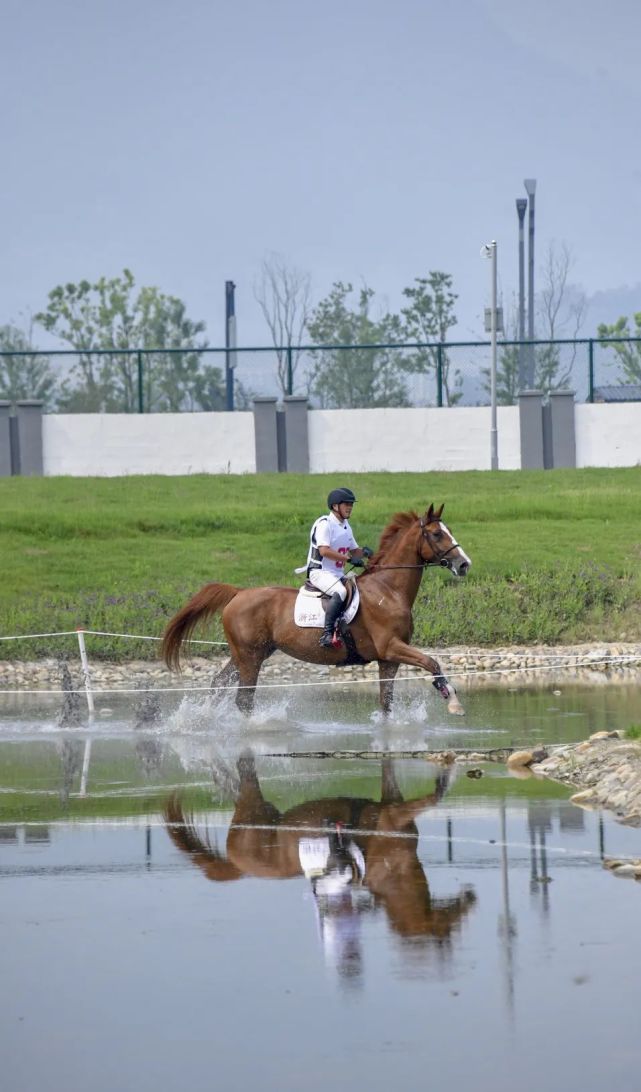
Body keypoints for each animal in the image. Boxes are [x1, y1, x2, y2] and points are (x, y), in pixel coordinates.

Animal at [160, 506, 471, 720]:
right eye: (437, 534)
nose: (464, 564)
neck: (388, 589)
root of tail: (238, 593)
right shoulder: (392, 647)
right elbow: (431, 662)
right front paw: (452, 700)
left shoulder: (388, 659)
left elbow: (386, 702)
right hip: (250, 657)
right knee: (244, 699)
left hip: (249, 654)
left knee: (218, 684)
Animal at [163, 755, 476, 952]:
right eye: (447, 932)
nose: (470, 900)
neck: (393, 872)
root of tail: (238, 863)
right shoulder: (395, 814)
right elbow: (433, 799)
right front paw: (444, 779)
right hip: (256, 810)